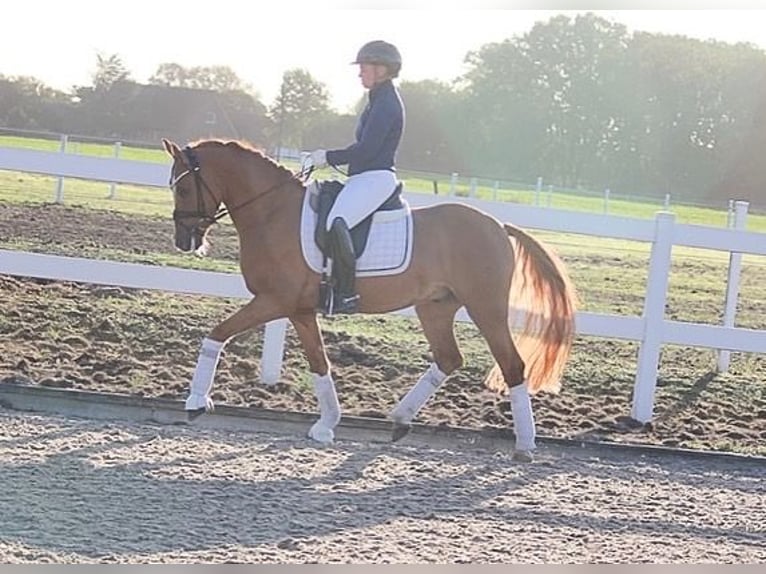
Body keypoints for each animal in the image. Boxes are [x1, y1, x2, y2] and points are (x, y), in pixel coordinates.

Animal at [165, 138, 580, 464]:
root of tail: (498, 225)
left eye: (182, 190)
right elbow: (320, 364)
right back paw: (399, 419)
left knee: (512, 365)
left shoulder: (273, 301)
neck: (272, 211)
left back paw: (524, 445)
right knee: (449, 358)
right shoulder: (299, 310)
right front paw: (326, 425)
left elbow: (217, 334)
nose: (184, 241)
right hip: (435, 307)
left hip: (486, 308)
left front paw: (196, 402)